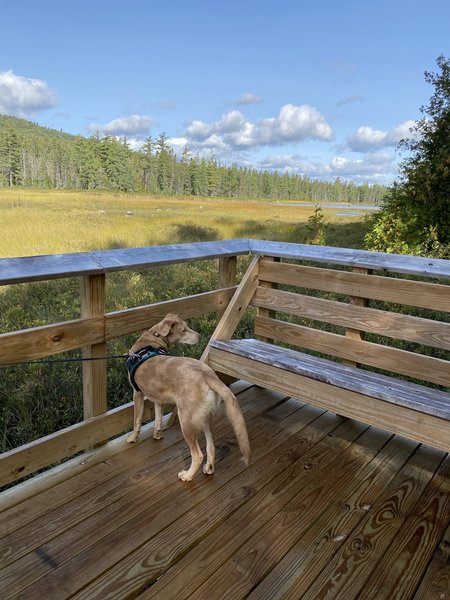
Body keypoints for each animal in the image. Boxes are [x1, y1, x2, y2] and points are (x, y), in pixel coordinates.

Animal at [125, 312, 250, 480]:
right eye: (184, 330)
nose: (200, 335)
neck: (153, 338)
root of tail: (208, 375)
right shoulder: (158, 398)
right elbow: (158, 419)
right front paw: (157, 434)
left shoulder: (137, 393)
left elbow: (136, 420)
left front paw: (133, 437)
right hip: (205, 418)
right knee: (211, 447)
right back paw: (209, 468)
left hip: (186, 420)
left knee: (197, 454)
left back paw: (187, 475)